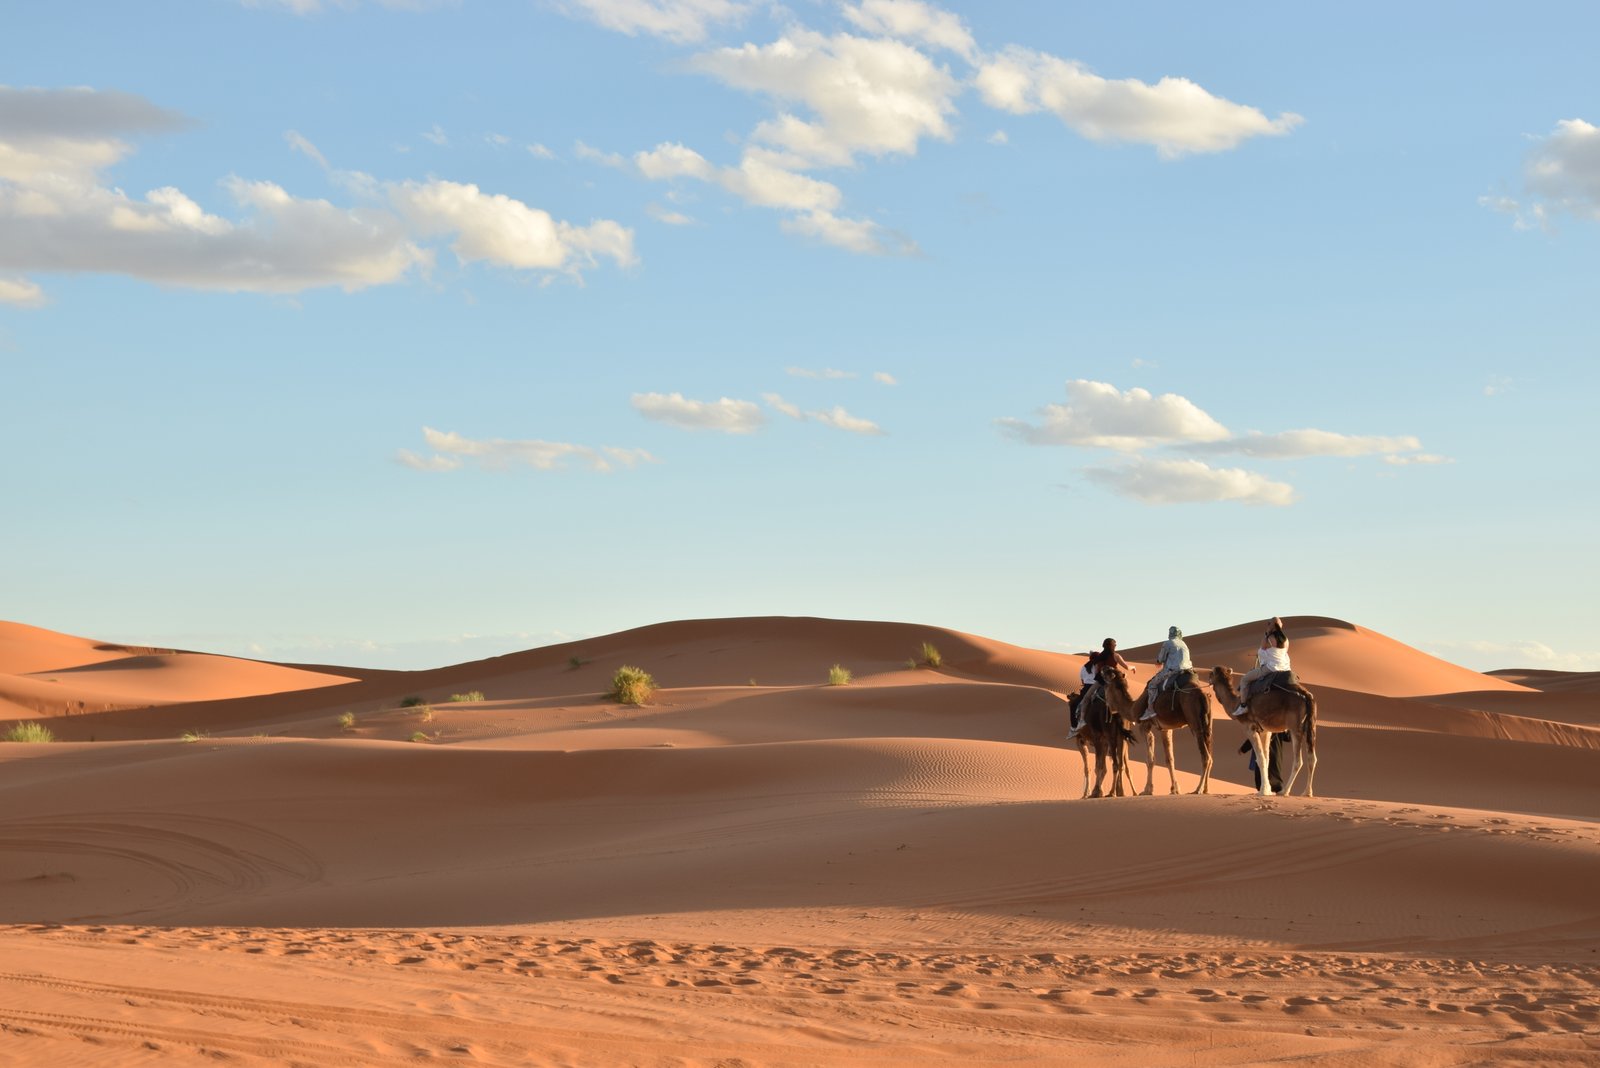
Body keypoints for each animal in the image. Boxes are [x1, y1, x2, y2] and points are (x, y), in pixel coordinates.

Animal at [1098, 664, 1215, 795]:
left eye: (1108, 673)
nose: (1104, 667)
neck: (1133, 708)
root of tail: (1203, 695)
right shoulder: (1165, 729)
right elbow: (1170, 759)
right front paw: (1174, 789)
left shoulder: (1144, 726)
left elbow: (1150, 759)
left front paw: (1147, 790)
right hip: (1208, 725)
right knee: (1210, 755)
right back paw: (1206, 789)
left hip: (1194, 722)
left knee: (1206, 757)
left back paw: (1197, 789)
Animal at [1208, 665, 1318, 797]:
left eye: (1211, 673)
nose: (1207, 679)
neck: (1235, 703)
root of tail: (1307, 696)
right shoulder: (1266, 731)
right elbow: (1267, 758)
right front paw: (1267, 790)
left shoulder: (1249, 728)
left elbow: (1260, 759)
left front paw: (1263, 791)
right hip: (1310, 726)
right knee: (1312, 758)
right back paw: (1307, 792)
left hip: (1295, 727)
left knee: (1298, 761)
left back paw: (1284, 791)